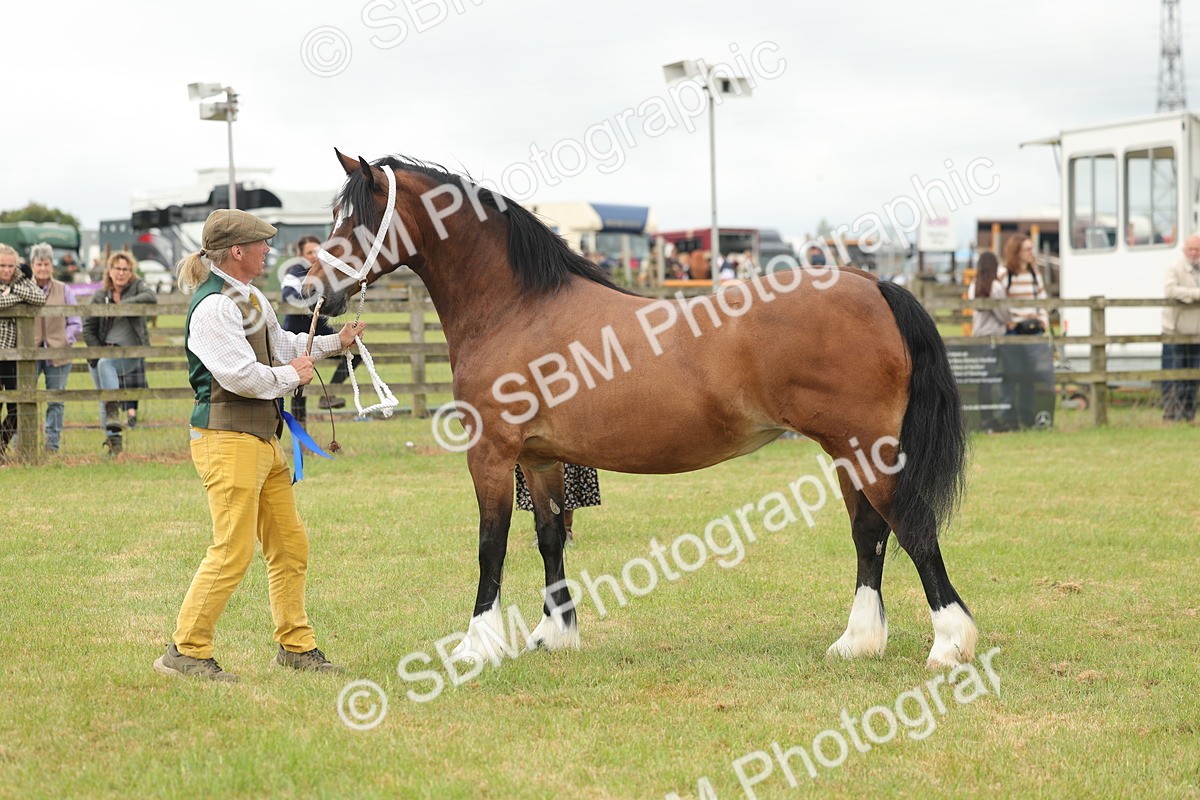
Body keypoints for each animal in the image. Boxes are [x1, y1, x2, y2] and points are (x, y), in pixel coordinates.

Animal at [304, 150, 977, 670]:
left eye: (358, 219)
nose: (310, 289)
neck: (517, 308)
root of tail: (873, 284)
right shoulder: (540, 458)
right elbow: (550, 538)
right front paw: (555, 635)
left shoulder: (491, 453)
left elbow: (490, 544)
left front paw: (477, 646)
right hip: (849, 452)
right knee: (870, 535)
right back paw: (858, 641)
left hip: (868, 450)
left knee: (912, 528)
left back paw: (949, 645)